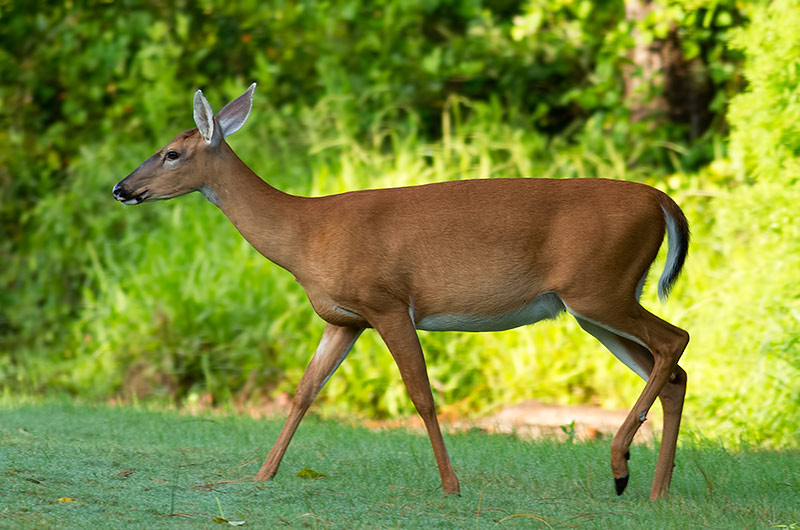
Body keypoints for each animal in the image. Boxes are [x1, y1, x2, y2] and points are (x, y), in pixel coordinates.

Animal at [113, 83, 690, 500]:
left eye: (170, 153)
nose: (122, 188)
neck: (306, 235)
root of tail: (661, 199)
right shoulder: (345, 318)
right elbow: (305, 391)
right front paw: (261, 475)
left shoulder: (387, 301)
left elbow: (421, 395)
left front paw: (451, 486)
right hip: (595, 305)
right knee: (674, 373)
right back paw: (657, 490)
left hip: (600, 288)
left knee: (676, 340)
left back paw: (620, 465)